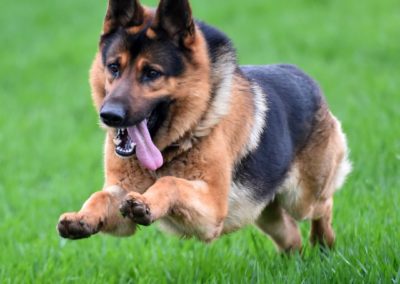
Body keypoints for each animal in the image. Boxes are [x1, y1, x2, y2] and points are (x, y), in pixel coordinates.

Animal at [56, 0, 350, 252]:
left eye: (151, 73)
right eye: (114, 68)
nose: (109, 115)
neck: (172, 145)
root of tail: (306, 78)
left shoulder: (211, 211)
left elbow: (171, 183)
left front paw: (148, 201)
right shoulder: (121, 203)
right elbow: (100, 196)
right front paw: (82, 217)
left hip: (301, 198)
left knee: (323, 206)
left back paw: (323, 244)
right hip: (264, 212)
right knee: (291, 236)